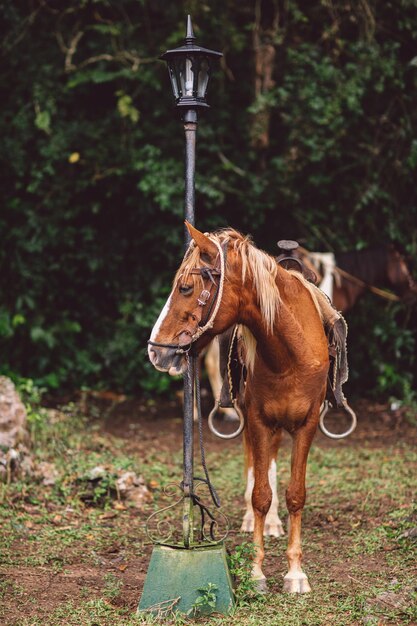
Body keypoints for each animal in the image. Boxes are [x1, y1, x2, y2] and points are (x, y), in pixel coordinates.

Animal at [147, 221, 348, 588]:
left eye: (185, 287)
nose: (156, 350)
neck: (290, 352)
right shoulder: (257, 419)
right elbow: (260, 493)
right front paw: (256, 571)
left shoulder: (307, 424)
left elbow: (295, 494)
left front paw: (295, 573)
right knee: (255, 465)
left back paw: (274, 525)